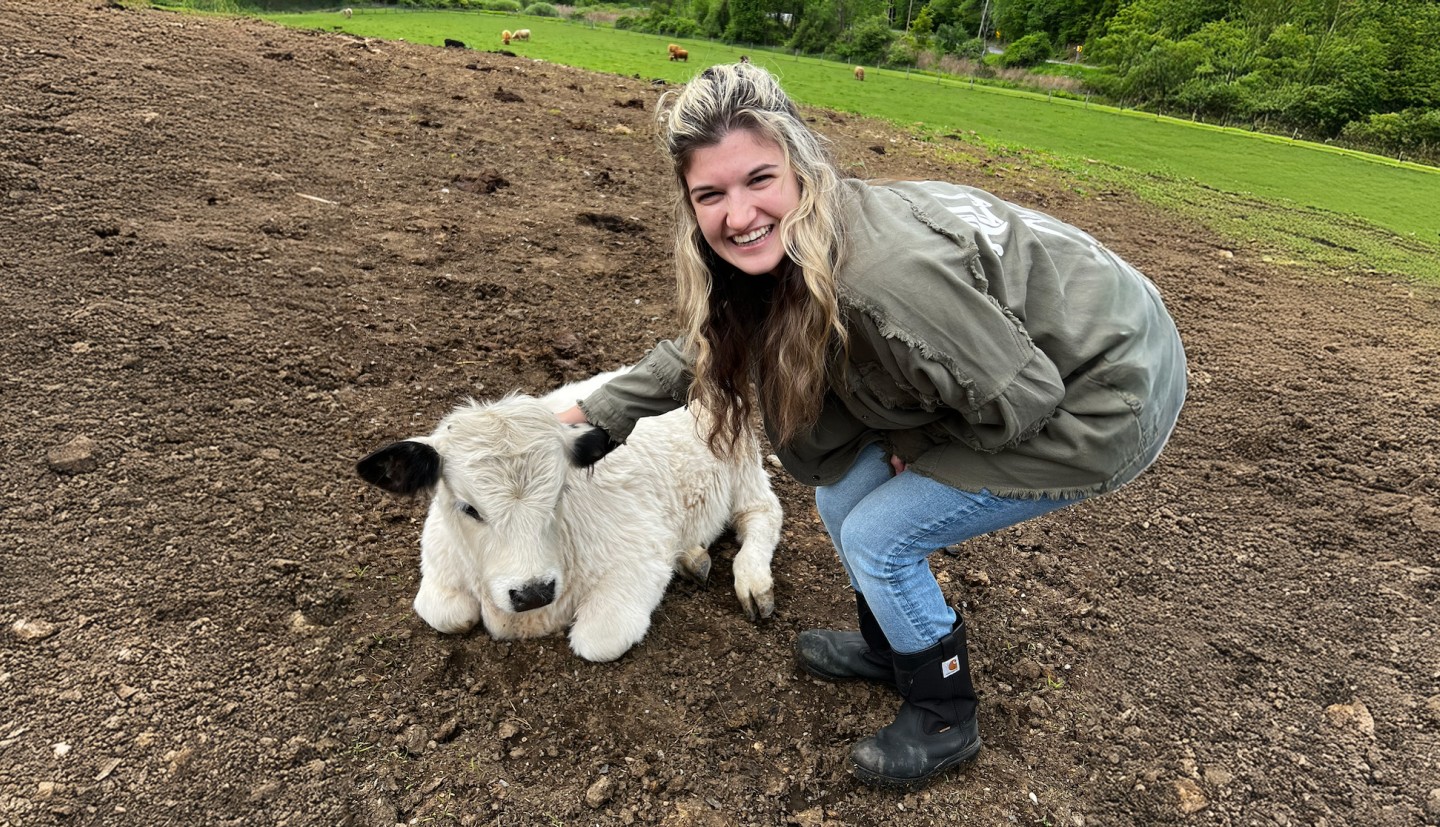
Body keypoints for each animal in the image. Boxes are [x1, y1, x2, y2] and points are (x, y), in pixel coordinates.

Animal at [356, 368, 784, 663]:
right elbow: (447, 614)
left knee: (763, 514)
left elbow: (598, 639)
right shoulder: (439, 567)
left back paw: (752, 580)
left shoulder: (639, 558)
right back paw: (691, 556)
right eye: (468, 508)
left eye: (560, 493)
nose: (532, 591)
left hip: (744, 466)